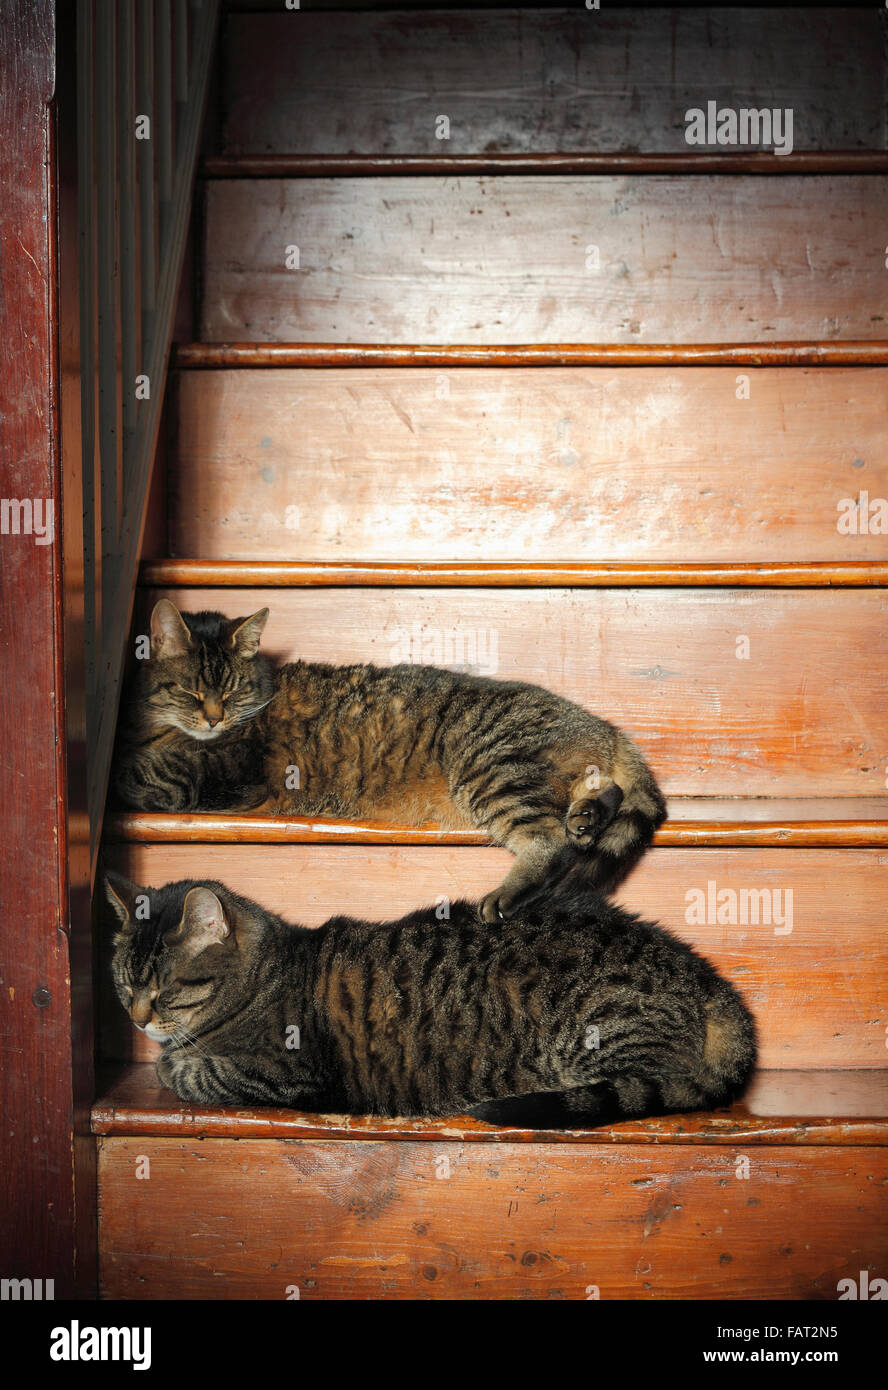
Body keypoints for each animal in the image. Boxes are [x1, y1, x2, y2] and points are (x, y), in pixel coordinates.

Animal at [105, 872, 755, 1123]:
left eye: (164, 989)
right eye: (124, 983)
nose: (137, 1021)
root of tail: (705, 975)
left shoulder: (287, 1073)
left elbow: (197, 1072)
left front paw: (172, 1063)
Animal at [111, 600, 667, 917]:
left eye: (231, 691)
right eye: (190, 690)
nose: (213, 719)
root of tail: (600, 725)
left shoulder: (215, 772)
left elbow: (146, 774)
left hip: (490, 766)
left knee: (550, 841)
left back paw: (511, 889)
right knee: (604, 792)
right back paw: (587, 815)